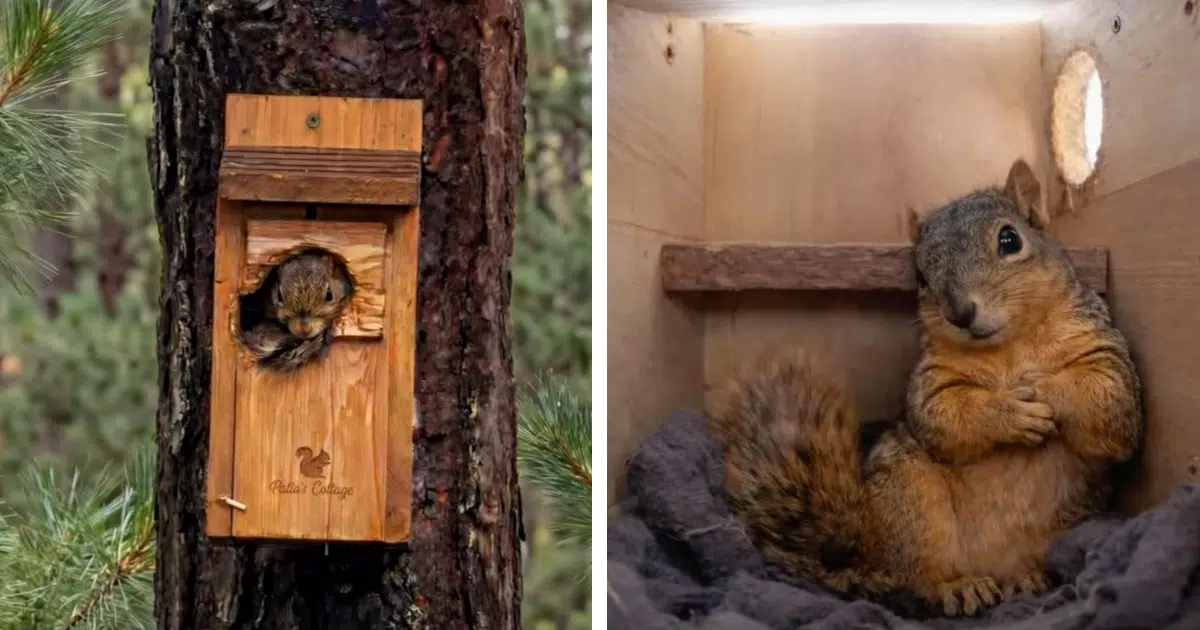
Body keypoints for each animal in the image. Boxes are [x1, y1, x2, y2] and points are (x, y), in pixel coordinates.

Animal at [707, 159, 1143, 618]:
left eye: (1010, 239)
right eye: (919, 274)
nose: (959, 312)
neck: (1009, 344)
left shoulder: (1106, 356)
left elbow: (1108, 406)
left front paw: (1039, 385)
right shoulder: (931, 383)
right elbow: (944, 417)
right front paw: (1009, 410)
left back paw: (1027, 578)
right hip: (912, 496)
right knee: (916, 578)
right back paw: (958, 587)